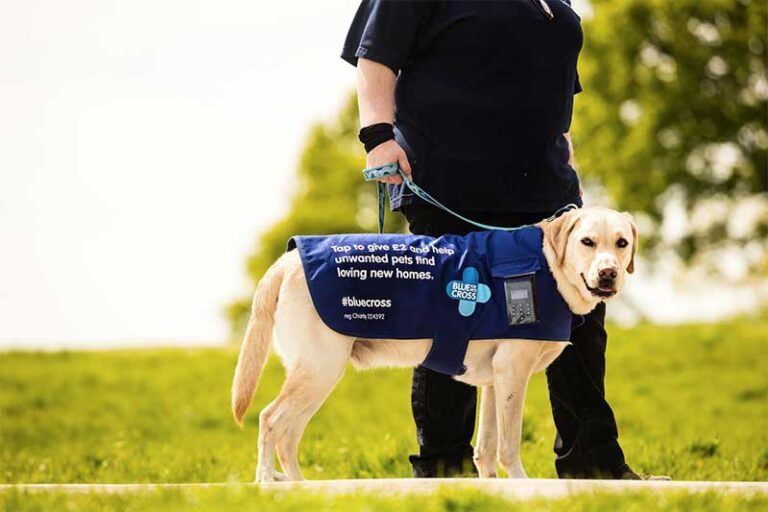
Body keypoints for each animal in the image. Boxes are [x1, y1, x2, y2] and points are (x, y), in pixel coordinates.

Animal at [232, 206, 636, 482]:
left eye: (622, 243)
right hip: (320, 369)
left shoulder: (495, 379)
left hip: (317, 376)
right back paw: (266, 481)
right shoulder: (513, 372)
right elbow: (508, 444)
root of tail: (286, 261)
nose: (608, 273)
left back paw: (298, 485)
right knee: (270, 419)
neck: (548, 266)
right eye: (587, 242)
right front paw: (522, 485)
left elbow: (487, 447)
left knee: (288, 433)